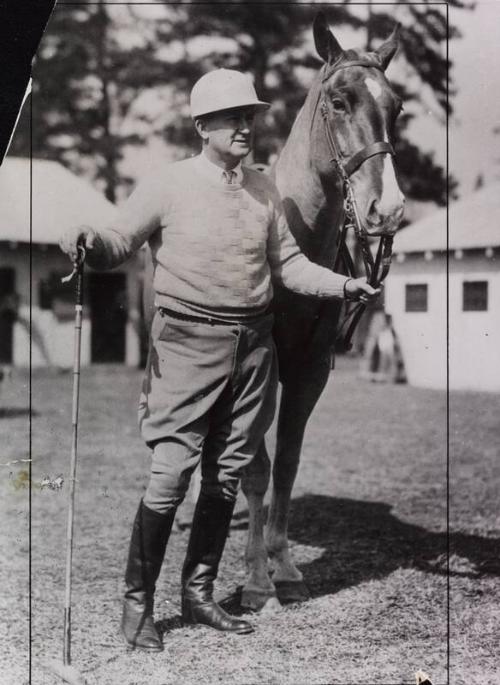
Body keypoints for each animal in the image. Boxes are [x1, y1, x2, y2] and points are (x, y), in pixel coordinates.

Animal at [238, 12, 406, 608]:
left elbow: (286, 460)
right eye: (339, 100)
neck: (296, 243)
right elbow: (258, 465)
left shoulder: (310, 370)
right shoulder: (261, 368)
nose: (389, 209)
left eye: (397, 107)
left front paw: (283, 565)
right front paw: (255, 578)